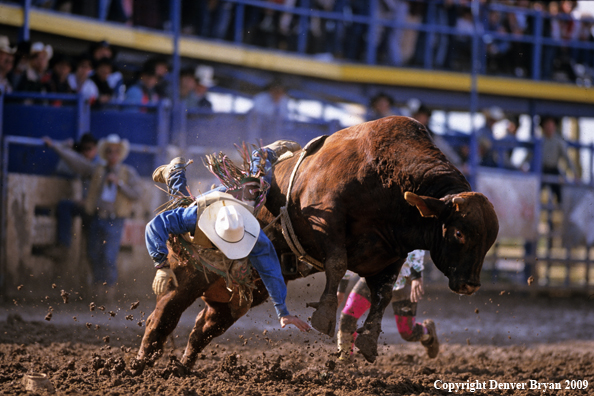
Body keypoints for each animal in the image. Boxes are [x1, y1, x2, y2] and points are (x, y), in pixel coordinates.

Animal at [134, 116, 494, 370]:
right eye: (459, 234)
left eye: (489, 242)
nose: (471, 284)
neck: (385, 179)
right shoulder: (325, 218)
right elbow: (336, 263)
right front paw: (324, 315)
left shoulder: (390, 256)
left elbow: (382, 294)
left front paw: (368, 341)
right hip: (189, 277)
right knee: (162, 318)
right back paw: (139, 366)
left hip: (237, 296)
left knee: (202, 329)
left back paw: (181, 369)